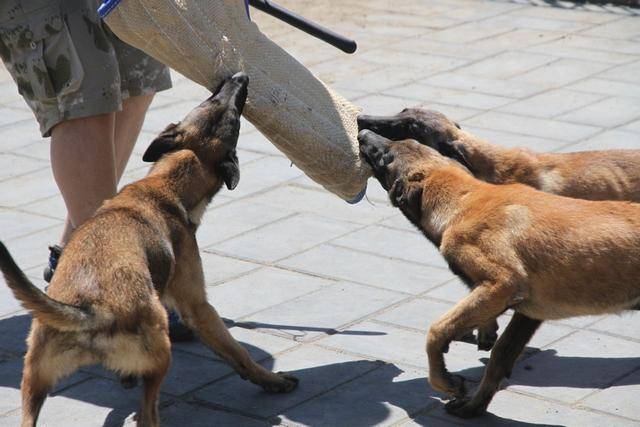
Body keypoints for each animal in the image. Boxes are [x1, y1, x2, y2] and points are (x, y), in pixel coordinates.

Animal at [0, 74, 298, 427]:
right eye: (234, 120)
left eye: (211, 101)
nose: (240, 77)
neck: (165, 186)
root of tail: (90, 311)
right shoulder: (198, 307)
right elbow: (238, 353)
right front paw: (272, 380)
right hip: (160, 348)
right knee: (146, 413)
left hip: (33, 382)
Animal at [358, 130, 640, 418]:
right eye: (408, 142)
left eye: (386, 157)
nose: (363, 133)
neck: (463, 201)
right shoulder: (527, 313)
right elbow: (499, 357)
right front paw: (475, 406)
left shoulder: (502, 283)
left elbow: (436, 331)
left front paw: (445, 380)